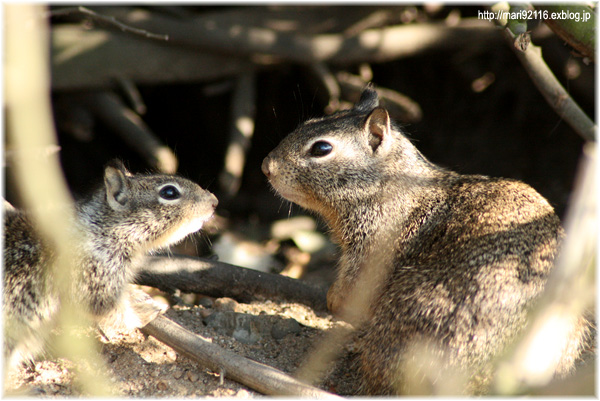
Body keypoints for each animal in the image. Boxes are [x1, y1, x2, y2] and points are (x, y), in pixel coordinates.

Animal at [2, 159, 218, 368]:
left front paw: (135, 294)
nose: (214, 201)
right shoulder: (95, 276)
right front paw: (143, 312)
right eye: (169, 192)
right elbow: (109, 309)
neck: (103, 228)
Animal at [262, 85, 592, 394]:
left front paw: (333, 301)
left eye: (321, 148)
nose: (266, 166)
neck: (392, 185)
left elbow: (352, 289)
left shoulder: (371, 253)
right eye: (309, 122)